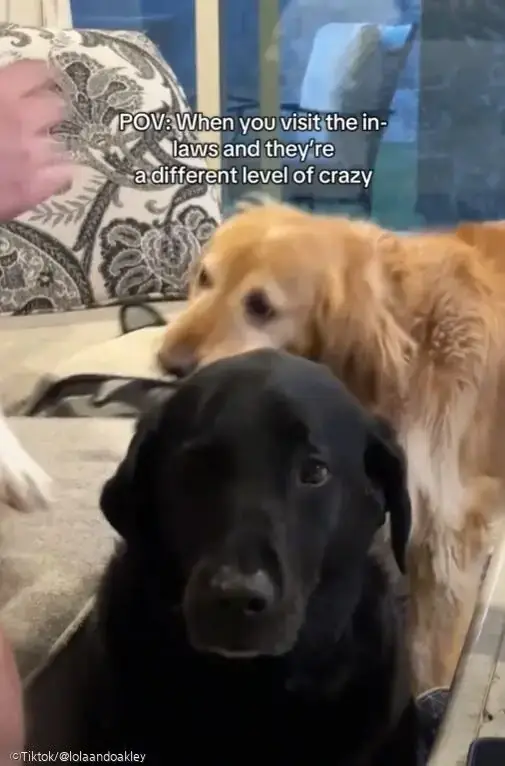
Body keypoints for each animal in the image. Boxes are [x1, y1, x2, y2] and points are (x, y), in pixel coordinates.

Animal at [157, 201, 505, 691]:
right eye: (204, 278)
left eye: (260, 306)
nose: (168, 363)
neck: (412, 343)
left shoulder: (447, 540)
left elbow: (429, 662)